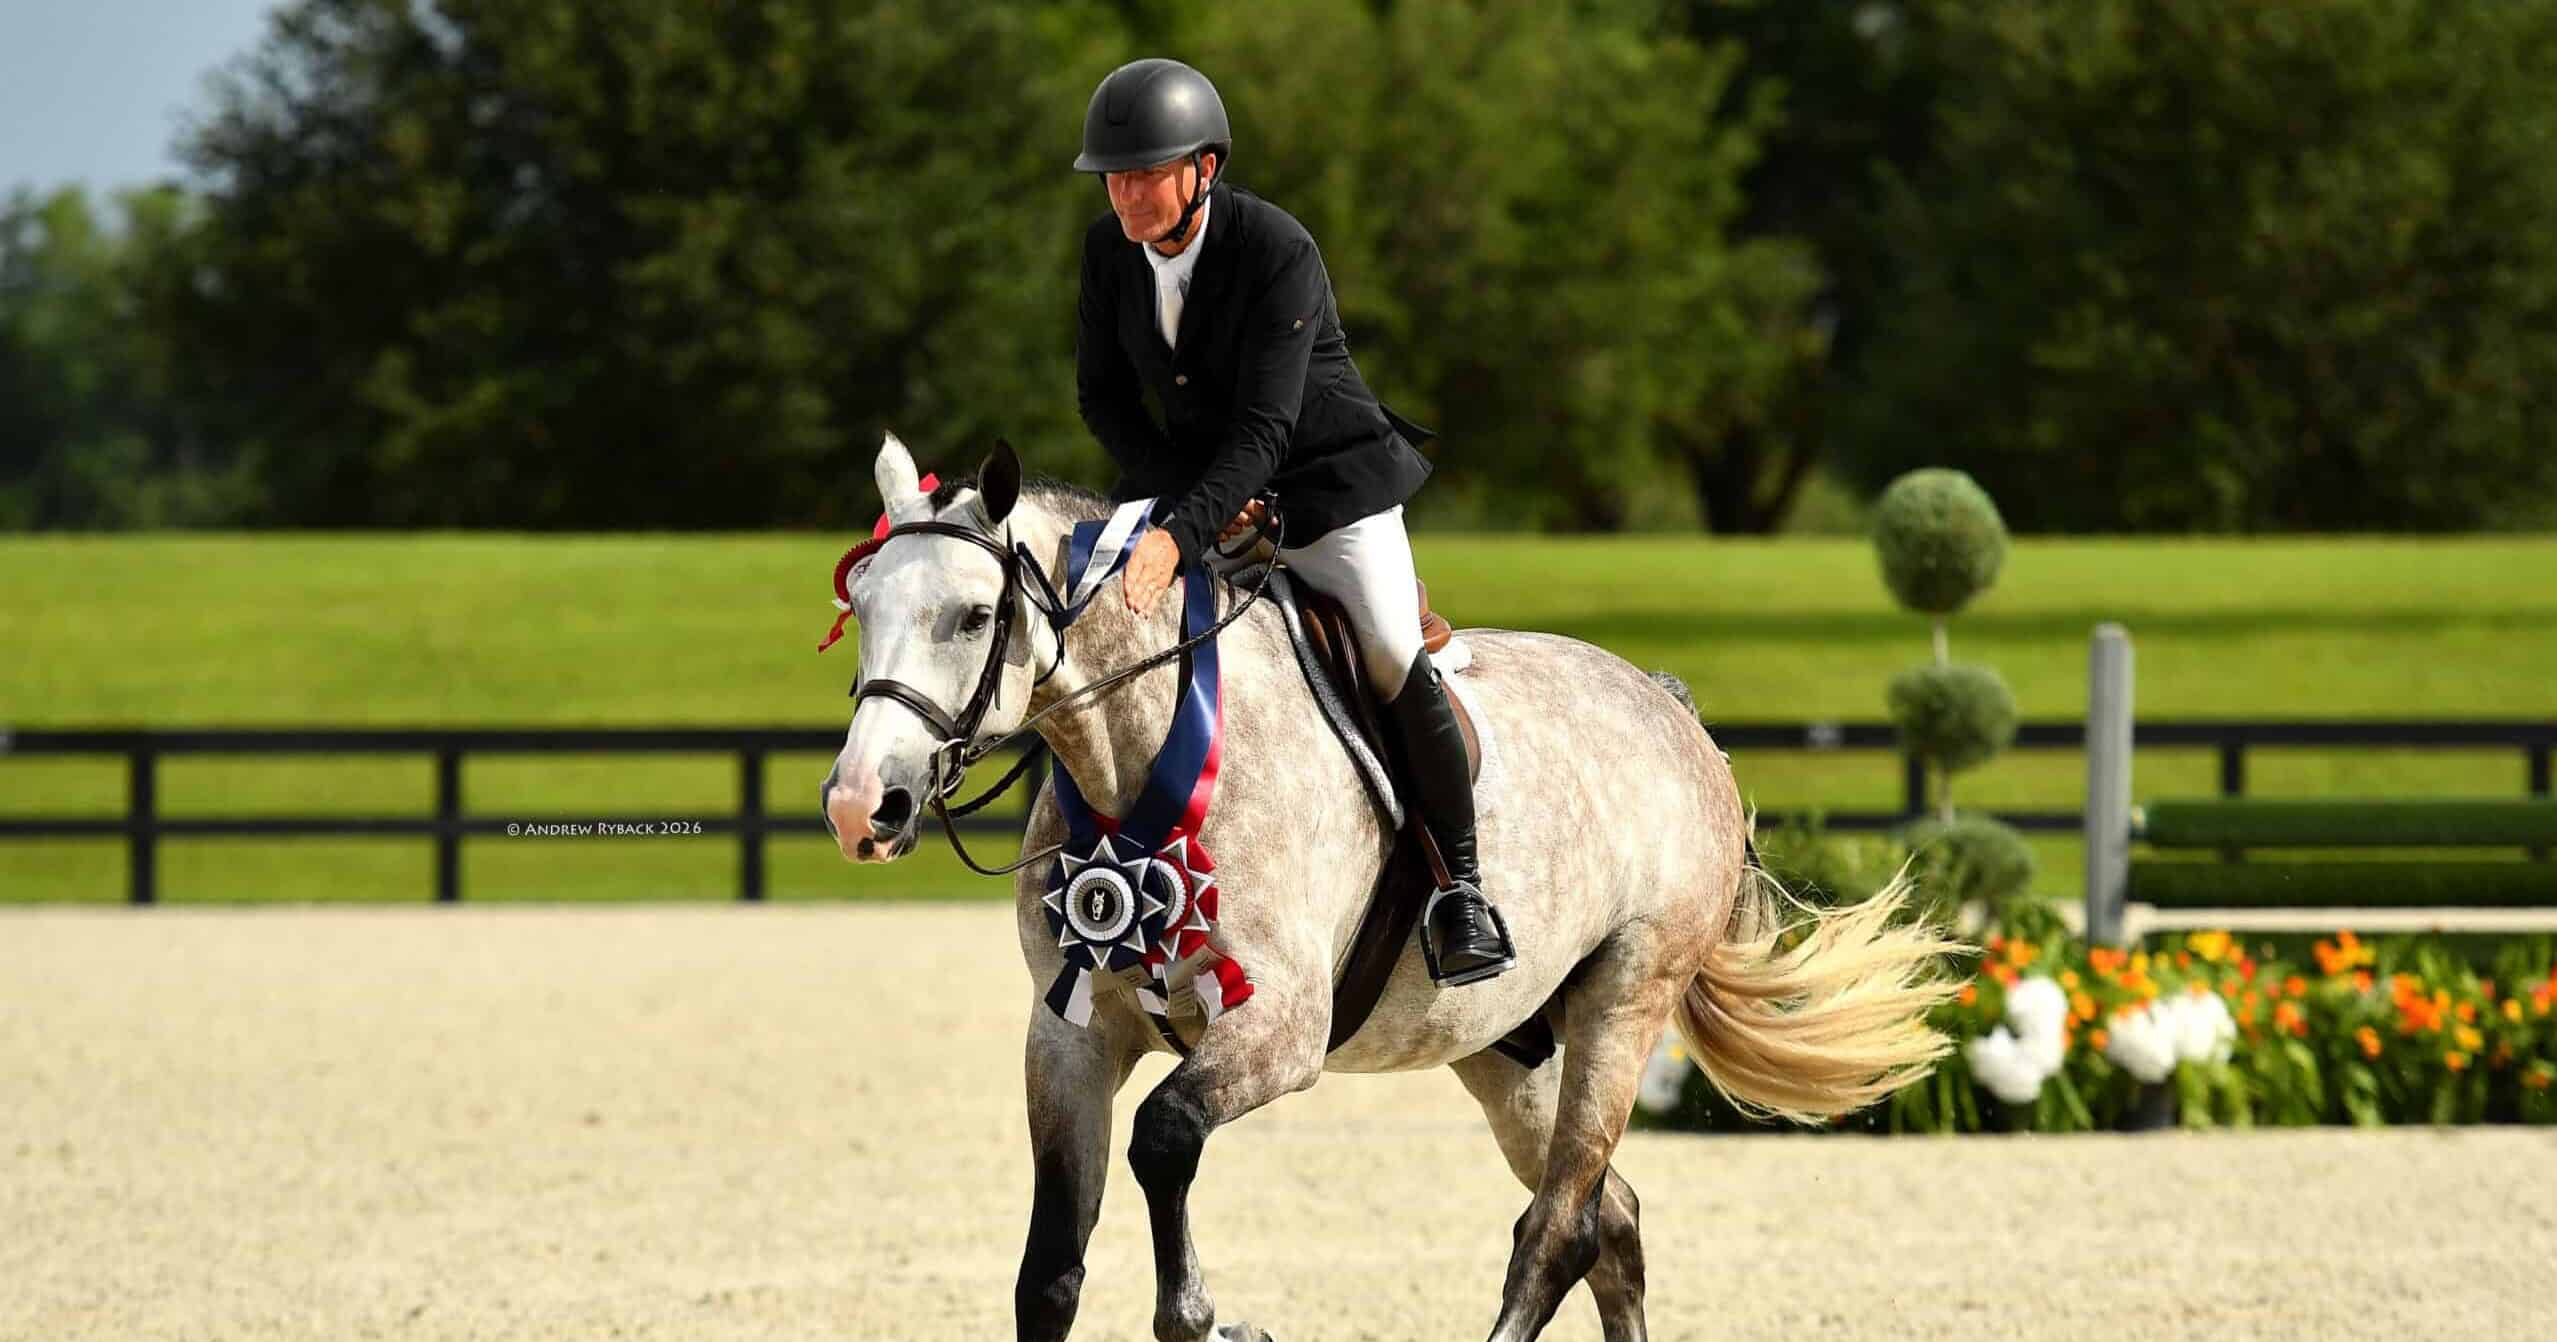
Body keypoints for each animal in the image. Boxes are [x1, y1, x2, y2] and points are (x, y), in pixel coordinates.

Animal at [821, 433, 1966, 1342]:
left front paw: (1207, 1318)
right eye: (862, 606)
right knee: (1614, 1223)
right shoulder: (1070, 1034)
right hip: (1505, 1046)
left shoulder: (1279, 1029)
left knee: (1559, 1230)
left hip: (1624, 997)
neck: (1137, 766)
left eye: (973, 616)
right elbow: (1050, 1276)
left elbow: (1166, 1140)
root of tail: (1670, 708)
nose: (858, 805)